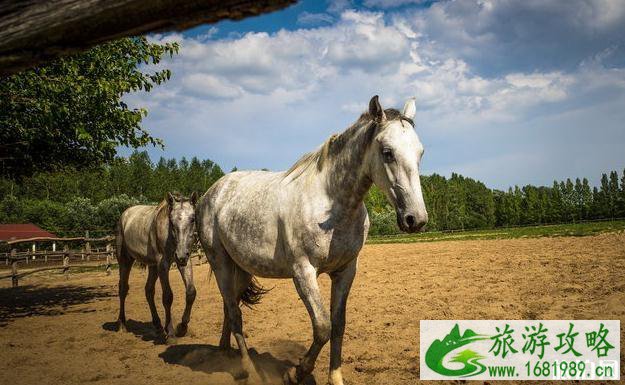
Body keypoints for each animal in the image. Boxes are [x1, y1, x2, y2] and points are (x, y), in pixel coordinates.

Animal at [116, 192, 196, 342]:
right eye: (171, 221)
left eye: (193, 219)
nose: (181, 254)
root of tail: (124, 215)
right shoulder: (163, 265)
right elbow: (168, 297)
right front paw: (170, 333)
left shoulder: (185, 262)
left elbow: (191, 293)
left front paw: (182, 328)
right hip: (125, 261)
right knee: (123, 289)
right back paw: (122, 324)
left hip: (152, 266)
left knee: (148, 291)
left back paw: (158, 326)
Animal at [197, 96, 426, 384]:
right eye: (387, 152)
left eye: (420, 152)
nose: (415, 219)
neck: (330, 204)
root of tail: (212, 193)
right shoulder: (303, 272)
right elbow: (322, 326)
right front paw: (296, 373)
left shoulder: (345, 271)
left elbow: (338, 326)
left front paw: (335, 378)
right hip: (221, 264)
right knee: (235, 313)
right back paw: (248, 370)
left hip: (243, 268)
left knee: (230, 308)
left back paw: (225, 352)